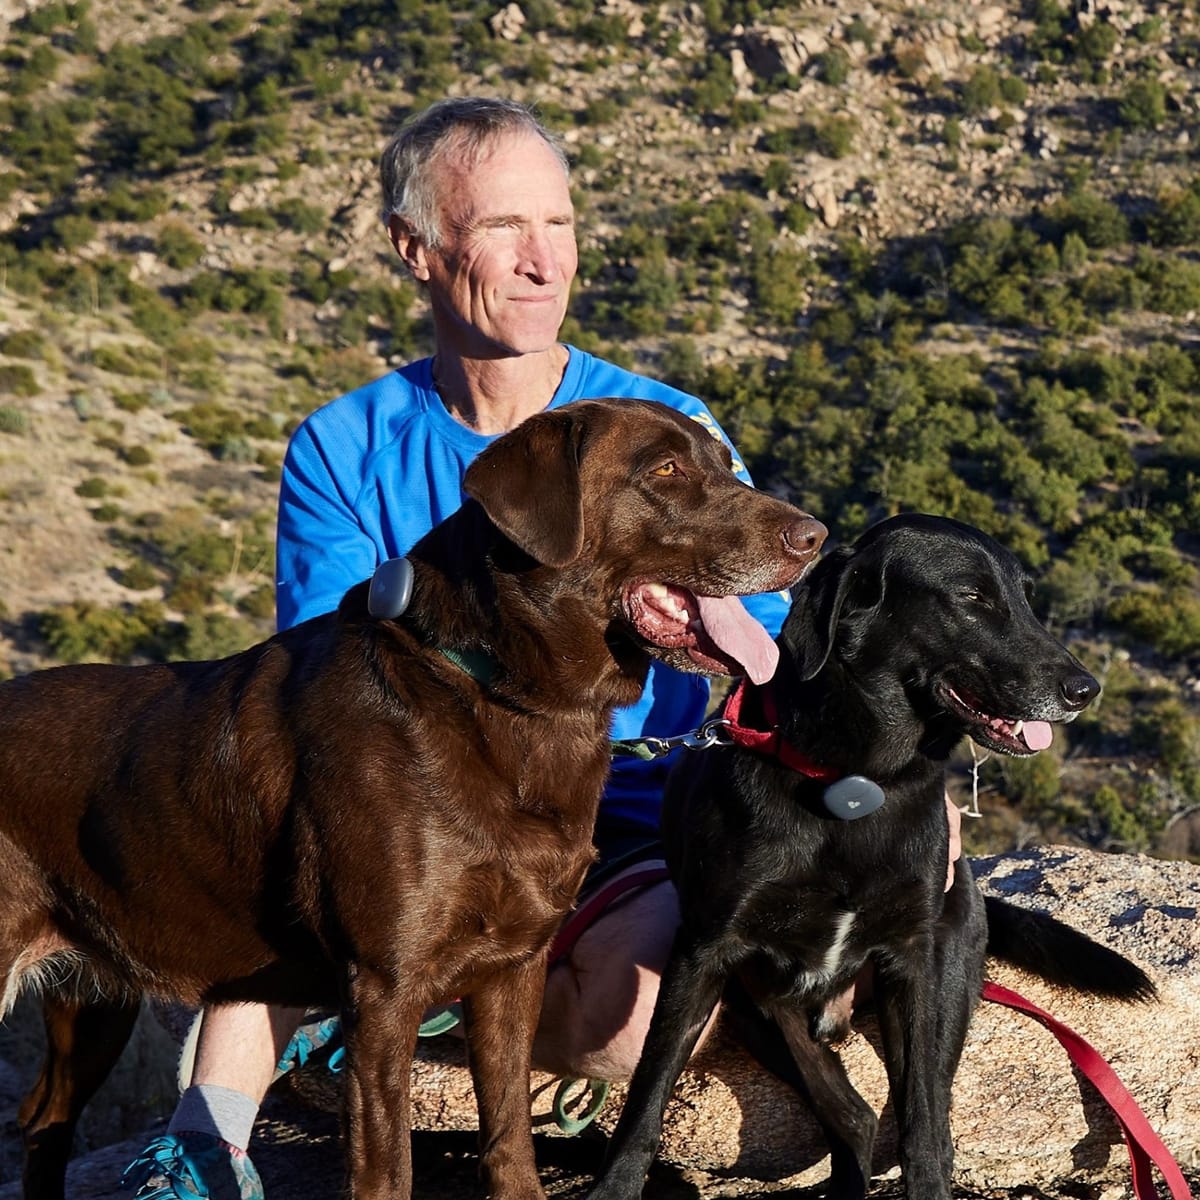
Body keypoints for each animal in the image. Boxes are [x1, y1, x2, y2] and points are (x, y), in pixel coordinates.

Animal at [590, 513, 1152, 1200]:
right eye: (971, 598)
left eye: (1025, 599)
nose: (1085, 689)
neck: (855, 785)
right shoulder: (703, 954)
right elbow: (648, 1092)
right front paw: (614, 1186)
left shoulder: (913, 962)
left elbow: (922, 1127)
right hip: (760, 1007)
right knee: (851, 1113)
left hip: (945, 975)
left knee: (920, 1111)